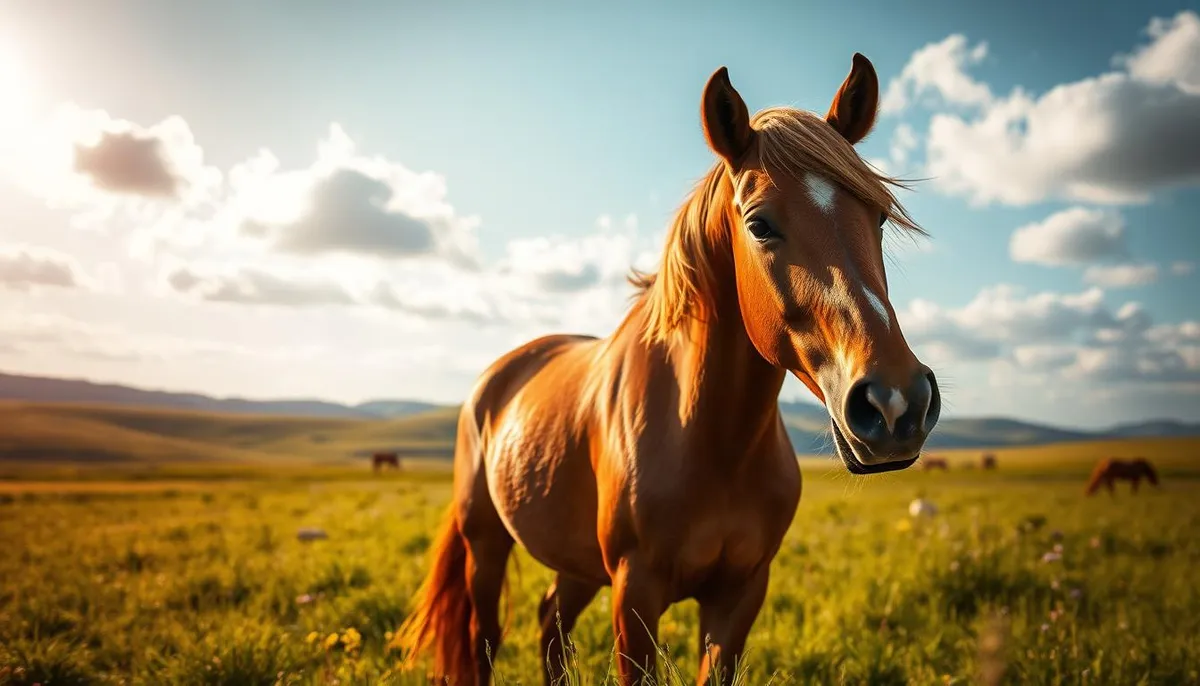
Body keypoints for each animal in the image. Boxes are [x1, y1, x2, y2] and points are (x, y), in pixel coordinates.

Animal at [391, 53, 940, 686]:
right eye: (759, 225)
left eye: (878, 217)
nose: (896, 403)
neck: (712, 442)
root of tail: (496, 378)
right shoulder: (636, 593)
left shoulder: (739, 595)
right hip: (486, 544)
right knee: (485, 639)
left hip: (577, 563)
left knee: (551, 625)